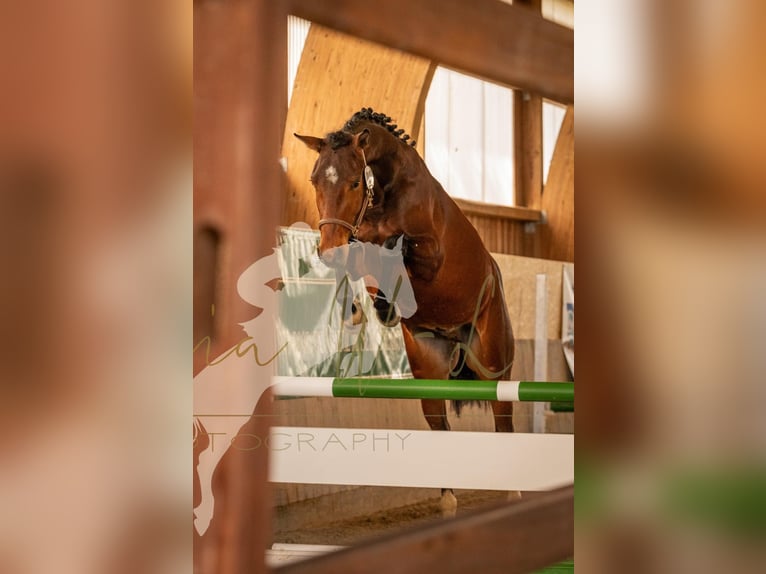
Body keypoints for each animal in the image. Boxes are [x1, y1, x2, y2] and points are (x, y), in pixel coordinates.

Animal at [296, 110, 520, 516]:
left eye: (355, 182)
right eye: (314, 180)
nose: (328, 248)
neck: (384, 190)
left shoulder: (430, 257)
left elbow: (391, 247)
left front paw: (383, 305)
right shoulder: (356, 240)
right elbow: (361, 258)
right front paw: (359, 309)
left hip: (494, 359)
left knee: (503, 417)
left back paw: (512, 493)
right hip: (429, 368)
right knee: (439, 422)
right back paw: (447, 498)